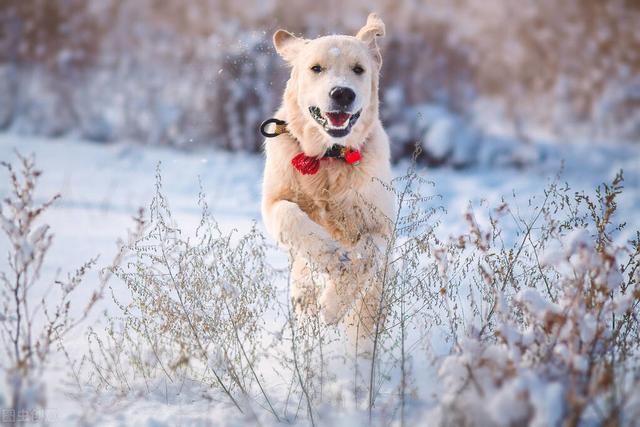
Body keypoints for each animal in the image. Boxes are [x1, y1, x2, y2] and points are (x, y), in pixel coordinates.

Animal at [262, 12, 396, 342]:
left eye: (359, 69)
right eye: (316, 68)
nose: (342, 93)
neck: (327, 157)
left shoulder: (382, 227)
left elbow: (365, 257)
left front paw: (333, 305)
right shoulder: (272, 203)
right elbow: (291, 218)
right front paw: (331, 257)